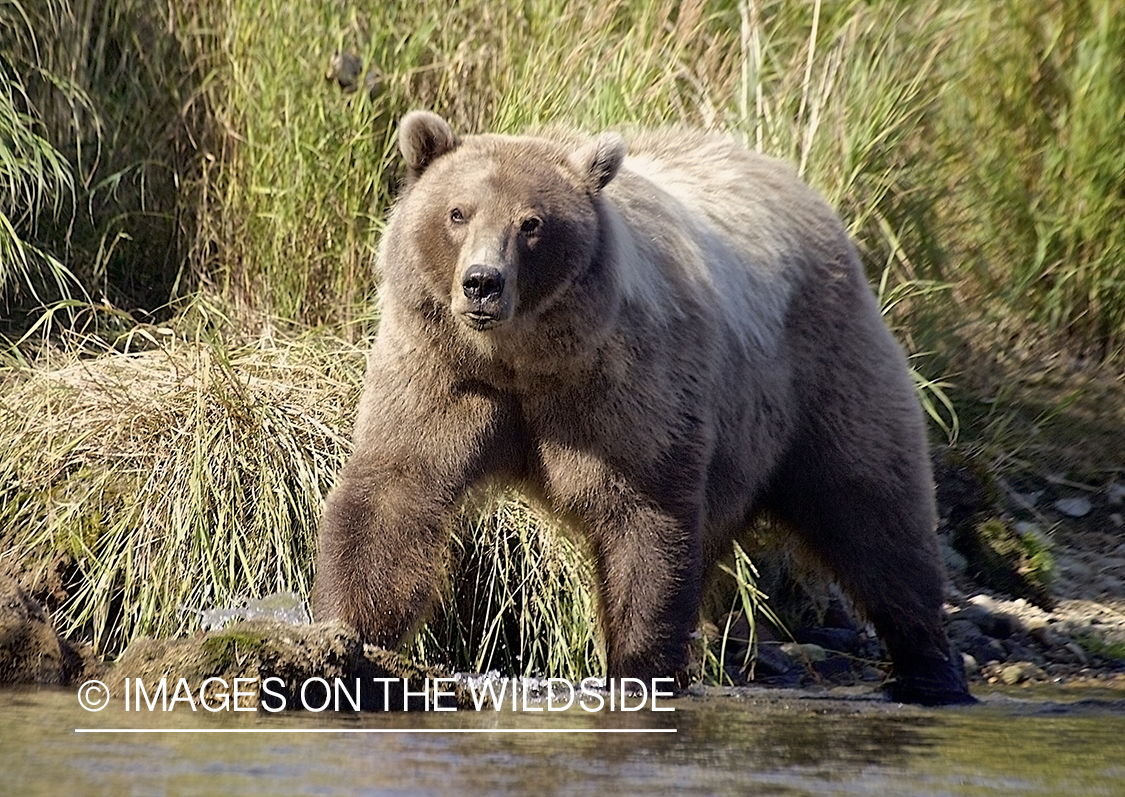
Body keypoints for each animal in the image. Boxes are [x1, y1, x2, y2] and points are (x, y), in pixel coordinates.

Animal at [312, 110, 975, 706]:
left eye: (532, 224)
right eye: (457, 212)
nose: (482, 282)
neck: (524, 359)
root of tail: (803, 190)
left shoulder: (627, 387)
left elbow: (644, 517)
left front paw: (639, 667)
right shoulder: (446, 375)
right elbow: (397, 490)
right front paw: (351, 634)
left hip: (822, 375)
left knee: (874, 511)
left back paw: (931, 670)